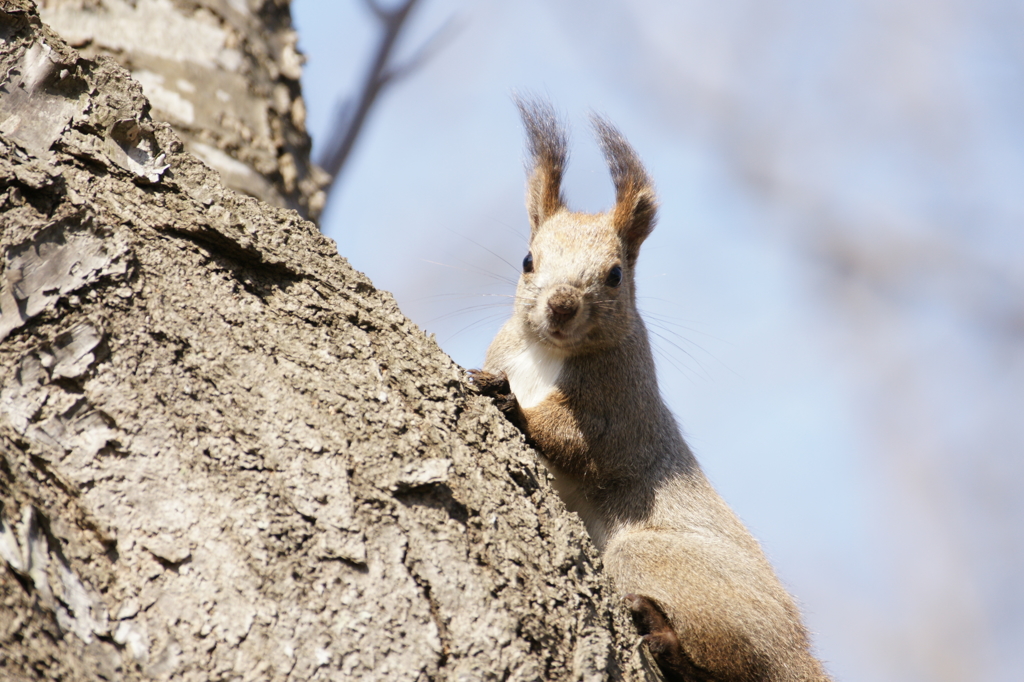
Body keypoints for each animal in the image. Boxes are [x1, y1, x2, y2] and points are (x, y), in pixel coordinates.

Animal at [471, 100, 831, 679]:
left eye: (616, 274)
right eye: (528, 261)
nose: (562, 306)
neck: (545, 354)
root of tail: (798, 656)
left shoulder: (622, 406)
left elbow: (580, 443)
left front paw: (514, 407)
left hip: (654, 562)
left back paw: (665, 639)